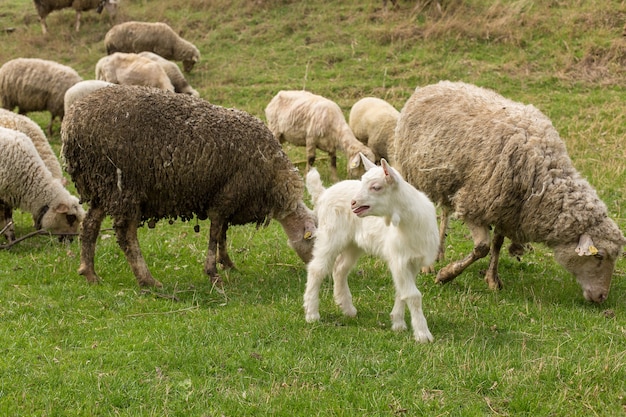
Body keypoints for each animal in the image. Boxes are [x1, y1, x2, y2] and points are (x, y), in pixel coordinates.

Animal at [62, 84, 316, 286]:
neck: (274, 178)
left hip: (101, 184)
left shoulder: (226, 198)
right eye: (316, 241)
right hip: (123, 186)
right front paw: (213, 273)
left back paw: (90, 274)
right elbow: (215, 233)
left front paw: (227, 264)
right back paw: (148, 281)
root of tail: (71, 123)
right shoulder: (227, 196)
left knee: (89, 226)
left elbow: (222, 234)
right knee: (126, 234)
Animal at [302, 154, 438, 342]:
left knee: (340, 268)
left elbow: (401, 291)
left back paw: (348, 309)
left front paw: (398, 323)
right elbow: (413, 295)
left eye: (376, 187)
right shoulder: (399, 258)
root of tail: (323, 194)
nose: (353, 203)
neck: (408, 223)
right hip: (330, 235)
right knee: (317, 269)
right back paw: (312, 314)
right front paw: (423, 334)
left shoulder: (412, 261)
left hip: (353, 243)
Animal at [394, 80, 624, 302]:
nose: (601, 297)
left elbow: (497, 244)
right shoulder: (475, 202)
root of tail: (431, 86)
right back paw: (428, 264)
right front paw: (446, 275)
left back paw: (439, 252)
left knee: (445, 211)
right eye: (599, 256)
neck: (541, 178)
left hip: (445, 180)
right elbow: (482, 248)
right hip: (414, 175)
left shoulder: (507, 212)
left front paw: (492, 279)